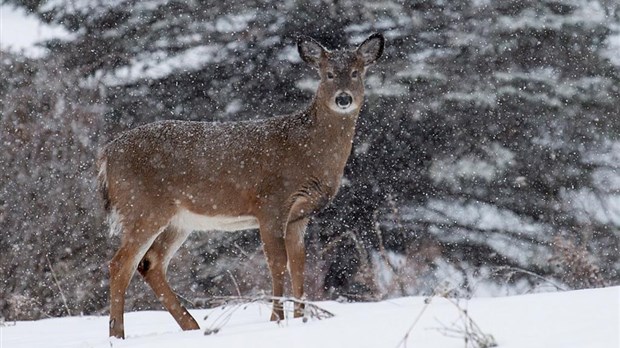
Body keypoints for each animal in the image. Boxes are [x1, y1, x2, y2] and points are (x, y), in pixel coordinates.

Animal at [98, 32, 382, 338]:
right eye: (327, 74)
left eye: (355, 72)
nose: (343, 98)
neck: (307, 149)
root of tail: (106, 155)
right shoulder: (270, 202)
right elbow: (277, 262)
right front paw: (277, 319)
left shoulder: (299, 214)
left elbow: (299, 263)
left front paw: (301, 318)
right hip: (142, 207)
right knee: (120, 264)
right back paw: (117, 334)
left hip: (178, 220)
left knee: (150, 264)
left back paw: (192, 326)